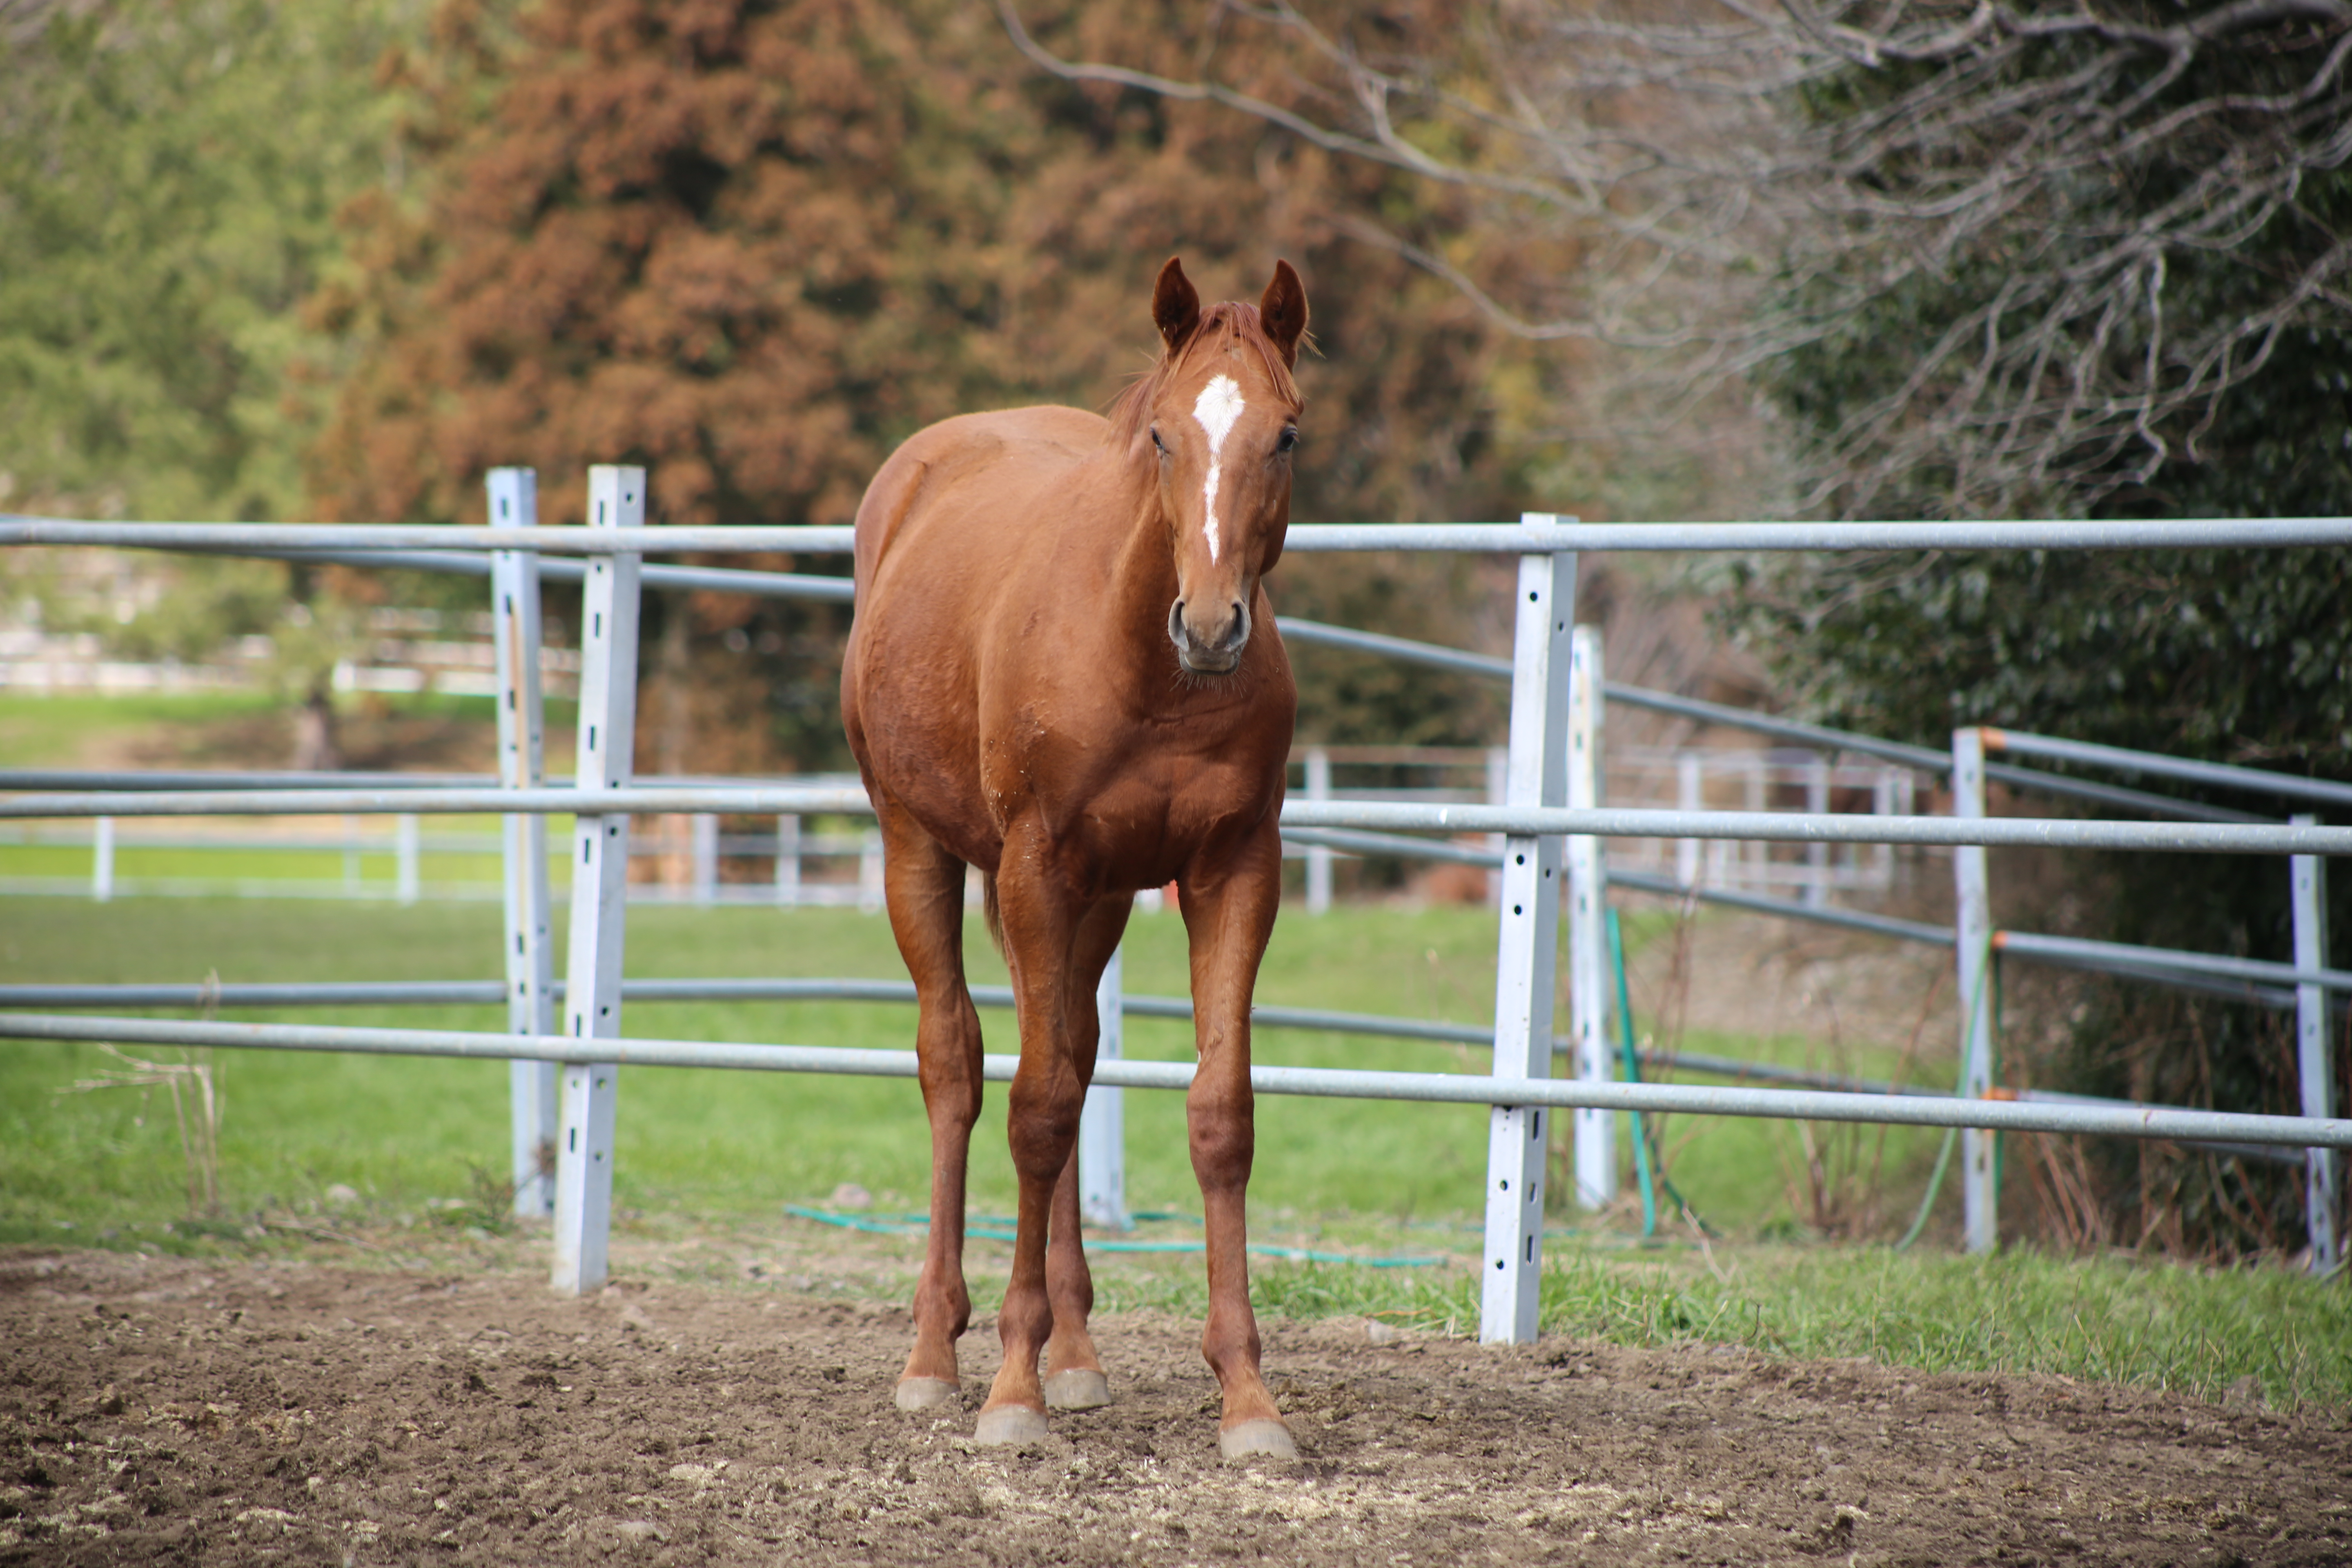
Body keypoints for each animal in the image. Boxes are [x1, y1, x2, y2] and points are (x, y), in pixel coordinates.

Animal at [846, 257, 1317, 1457]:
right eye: (1161, 435)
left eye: (1286, 433)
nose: (1213, 625)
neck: (1147, 668)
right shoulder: (1032, 866)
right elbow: (1036, 1110)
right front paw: (1007, 1390)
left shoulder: (1233, 872)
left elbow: (1216, 1113)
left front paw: (1247, 1396)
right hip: (919, 849)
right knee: (958, 1065)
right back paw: (936, 1353)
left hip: (1092, 898)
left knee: (1068, 1050)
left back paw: (1074, 1352)